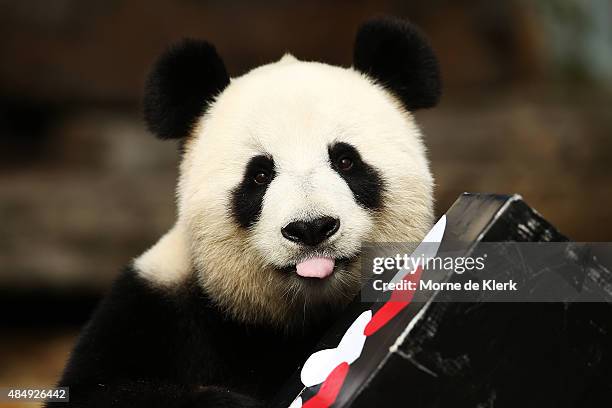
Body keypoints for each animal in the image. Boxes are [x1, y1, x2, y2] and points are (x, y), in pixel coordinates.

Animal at [47, 15, 440, 408]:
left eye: (346, 160)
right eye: (260, 174)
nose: (311, 228)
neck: (296, 319)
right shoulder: (153, 308)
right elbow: (99, 389)